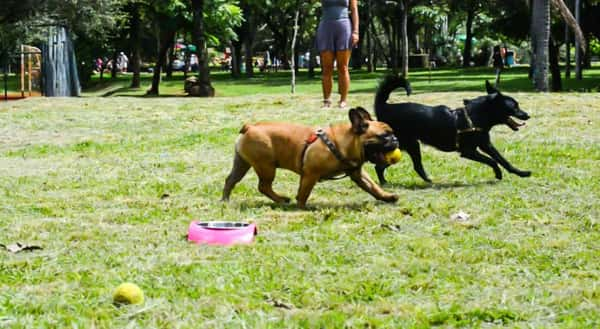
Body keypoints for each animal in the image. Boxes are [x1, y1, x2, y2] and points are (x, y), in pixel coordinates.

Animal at [220, 107, 398, 208]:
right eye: (384, 136)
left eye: (392, 133)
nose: (396, 139)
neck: (341, 143)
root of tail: (249, 127)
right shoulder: (310, 174)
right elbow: (304, 193)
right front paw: (302, 207)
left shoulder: (357, 173)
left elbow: (373, 187)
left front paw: (387, 197)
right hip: (266, 167)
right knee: (263, 186)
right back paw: (282, 200)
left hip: (242, 163)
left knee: (231, 180)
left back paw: (225, 200)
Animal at [372, 74, 532, 183]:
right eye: (515, 107)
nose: (528, 115)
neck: (475, 116)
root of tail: (384, 107)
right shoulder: (468, 151)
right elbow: (492, 161)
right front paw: (498, 173)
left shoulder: (486, 145)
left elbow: (503, 160)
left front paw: (521, 173)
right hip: (407, 144)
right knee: (383, 166)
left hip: (407, 145)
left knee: (400, 166)